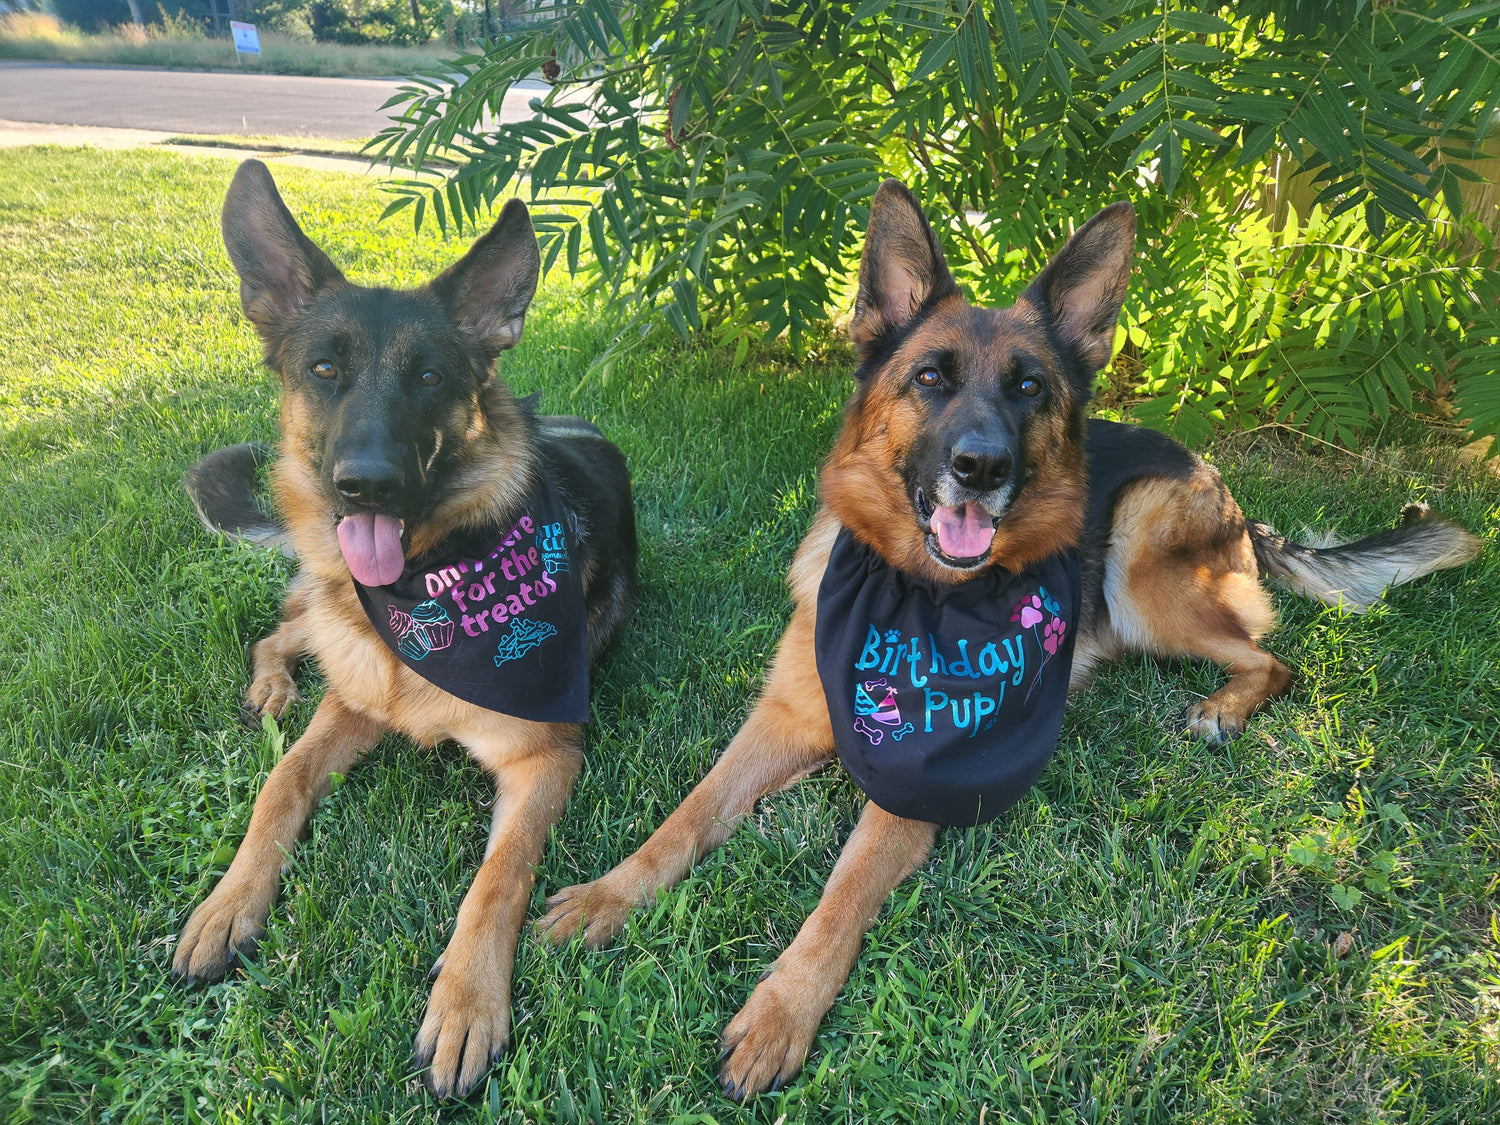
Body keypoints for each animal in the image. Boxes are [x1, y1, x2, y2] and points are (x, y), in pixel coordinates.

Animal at [172, 160, 636, 1104]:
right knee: (281, 628)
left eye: (427, 378)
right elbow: (280, 784)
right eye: (323, 368)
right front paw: (228, 902)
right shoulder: (352, 703)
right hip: (324, 606)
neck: (432, 588)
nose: (366, 484)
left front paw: (465, 1005)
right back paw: (271, 686)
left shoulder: (545, 756)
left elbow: (497, 879)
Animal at [534, 180, 1482, 1098]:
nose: (981, 468)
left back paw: (1221, 708)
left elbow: (840, 895)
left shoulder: (920, 783)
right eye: (930, 378)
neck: (916, 593)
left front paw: (779, 1013)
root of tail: (1224, 487)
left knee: (1271, 655)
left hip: (1142, 566)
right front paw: (607, 895)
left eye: (1028, 388)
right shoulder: (781, 718)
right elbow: (686, 816)